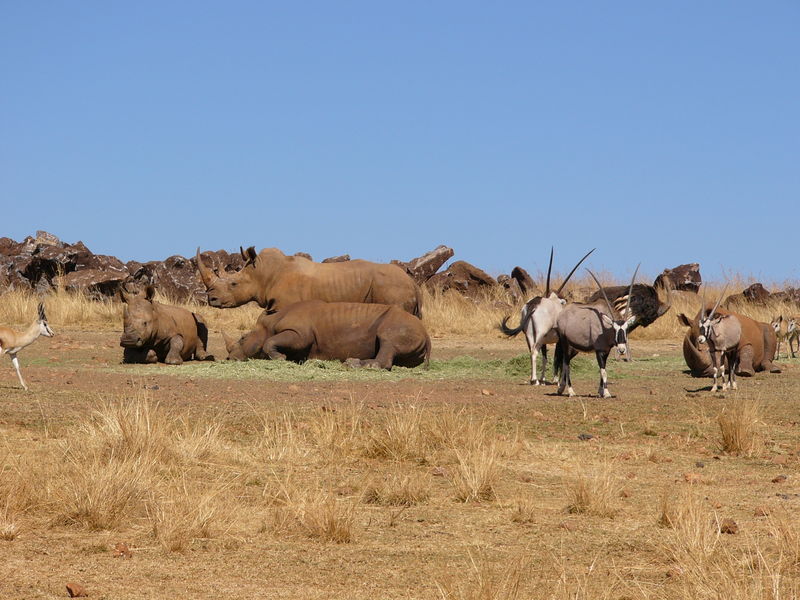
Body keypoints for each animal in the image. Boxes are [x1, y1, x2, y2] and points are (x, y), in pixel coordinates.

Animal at [222, 300, 434, 370]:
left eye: (243, 338)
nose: (229, 359)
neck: (270, 322)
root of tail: (427, 333)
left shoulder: (299, 333)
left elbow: (270, 341)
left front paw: (280, 358)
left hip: (401, 324)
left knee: (387, 340)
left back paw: (353, 365)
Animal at [496, 247, 596, 384]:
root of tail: (533, 304)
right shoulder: (560, 340)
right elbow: (558, 358)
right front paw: (557, 380)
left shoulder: (545, 341)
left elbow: (545, 358)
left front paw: (544, 379)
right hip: (540, 333)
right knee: (535, 351)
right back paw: (534, 380)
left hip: (530, 334)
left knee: (533, 352)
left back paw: (535, 379)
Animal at [552, 268, 640, 398]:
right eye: (614, 329)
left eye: (626, 329)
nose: (622, 350)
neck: (604, 329)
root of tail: (562, 314)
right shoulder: (599, 351)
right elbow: (603, 372)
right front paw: (607, 393)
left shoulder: (606, 352)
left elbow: (602, 371)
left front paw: (600, 391)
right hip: (565, 343)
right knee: (566, 364)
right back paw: (571, 391)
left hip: (575, 348)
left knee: (564, 362)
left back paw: (561, 389)